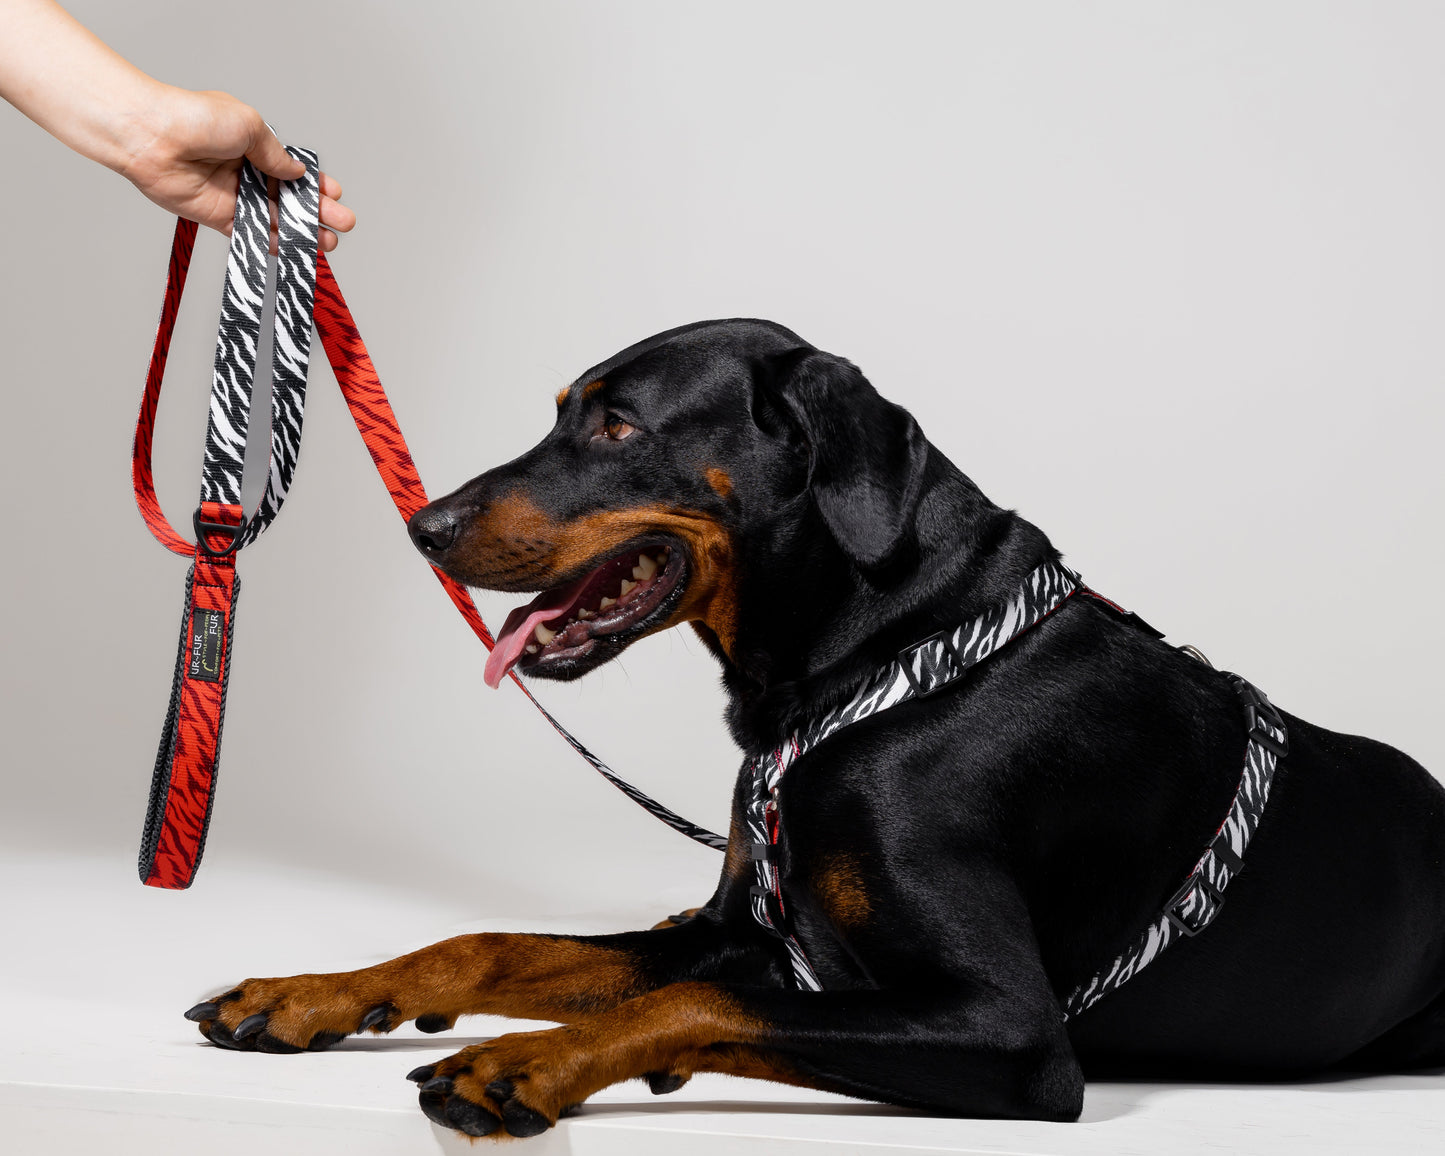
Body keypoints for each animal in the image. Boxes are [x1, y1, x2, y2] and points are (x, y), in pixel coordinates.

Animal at [186, 317, 1445, 1138]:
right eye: (560, 416)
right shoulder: (731, 928)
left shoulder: (1010, 1028)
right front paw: (306, 995)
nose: (424, 526)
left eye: (619, 427)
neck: (881, 657)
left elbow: (688, 1002)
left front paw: (521, 1062)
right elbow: (492, 942)